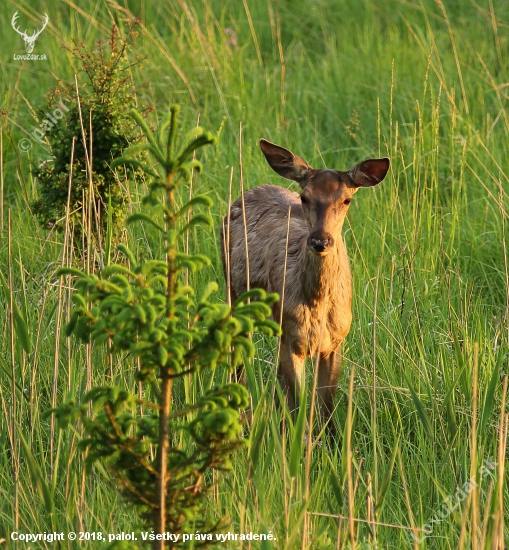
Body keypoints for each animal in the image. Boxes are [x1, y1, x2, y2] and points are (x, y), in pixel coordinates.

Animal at [219, 139, 388, 432]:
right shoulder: (291, 336)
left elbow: (326, 411)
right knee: (238, 361)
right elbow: (298, 408)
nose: (320, 241)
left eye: (347, 199)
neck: (317, 304)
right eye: (304, 197)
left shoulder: (335, 341)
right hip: (234, 292)